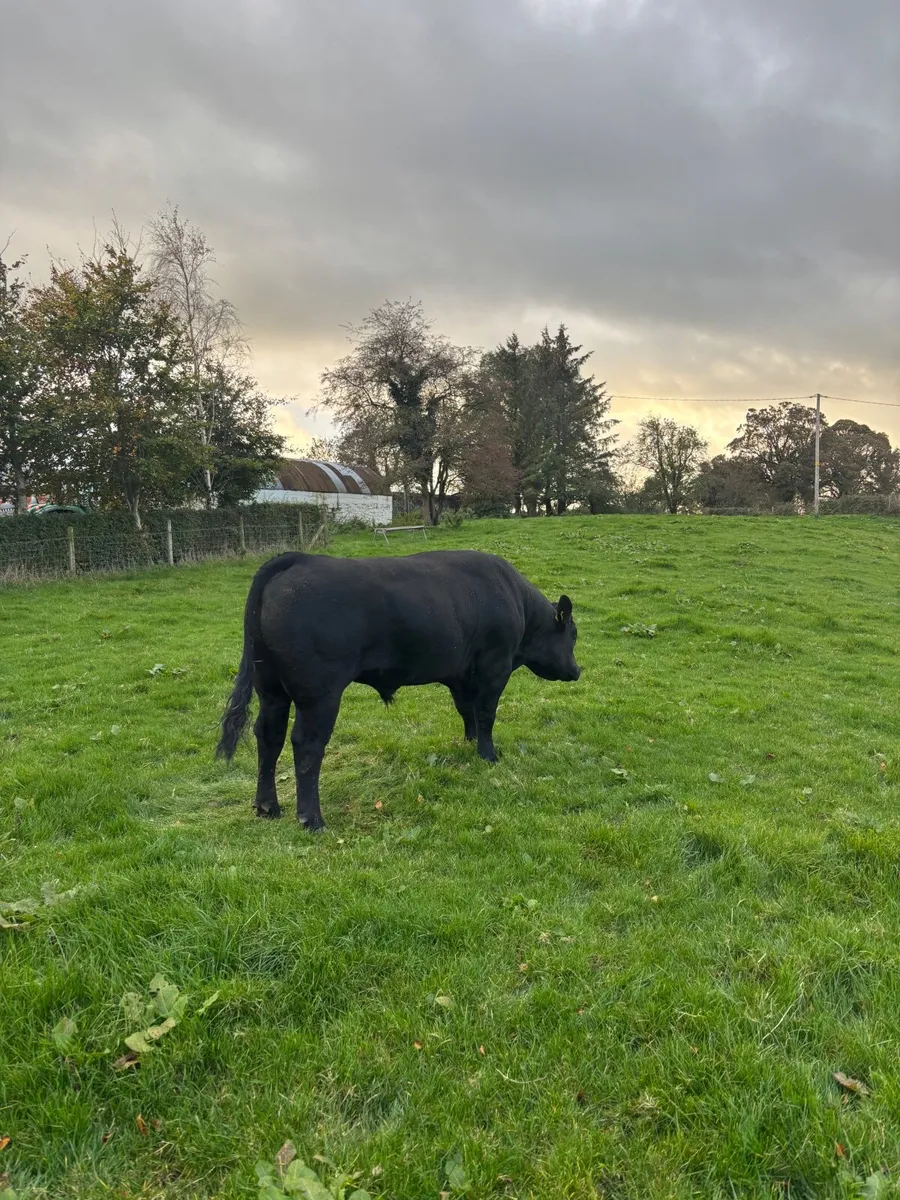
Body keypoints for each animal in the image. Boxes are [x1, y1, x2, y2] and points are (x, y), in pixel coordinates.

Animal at [216, 549, 581, 829]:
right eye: (574, 634)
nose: (577, 671)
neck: (515, 600)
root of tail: (298, 559)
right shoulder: (495, 667)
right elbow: (486, 714)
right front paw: (489, 755)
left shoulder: (460, 674)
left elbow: (467, 712)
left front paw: (470, 743)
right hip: (319, 693)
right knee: (306, 745)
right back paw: (312, 819)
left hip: (270, 687)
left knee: (269, 735)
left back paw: (267, 806)